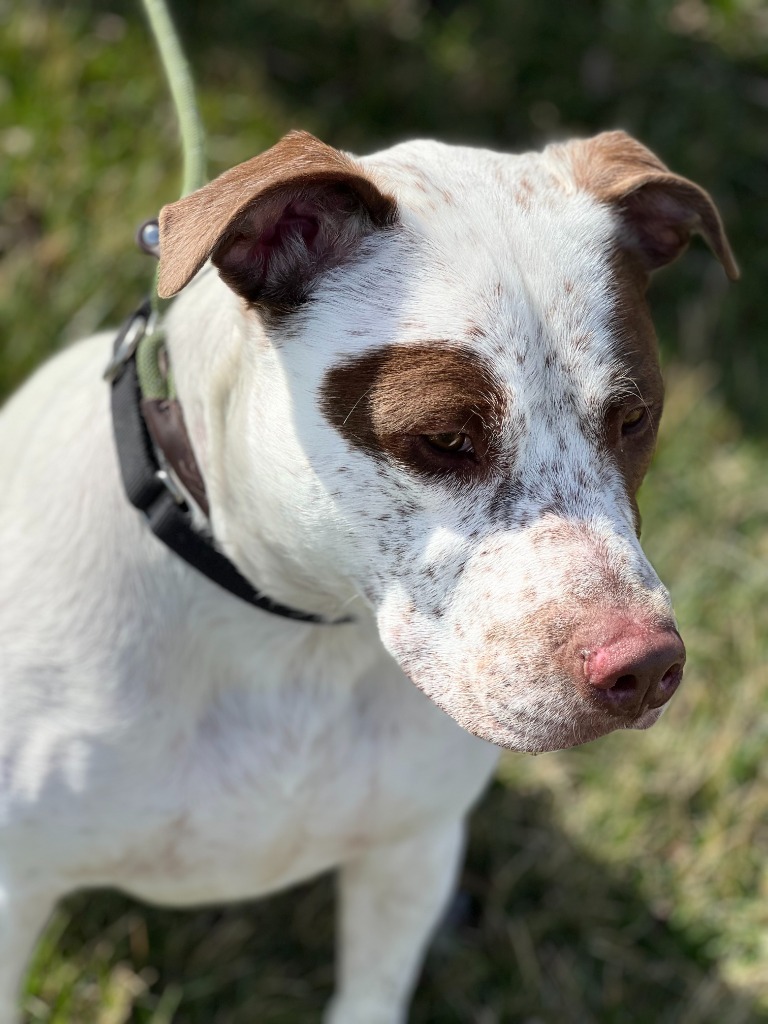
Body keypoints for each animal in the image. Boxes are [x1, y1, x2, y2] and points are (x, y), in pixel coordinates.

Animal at [0, 130, 741, 1024]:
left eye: (635, 420)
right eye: (444, 438)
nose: (648, 667)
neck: (298, 633)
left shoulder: (407, 857)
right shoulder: (15, 890)